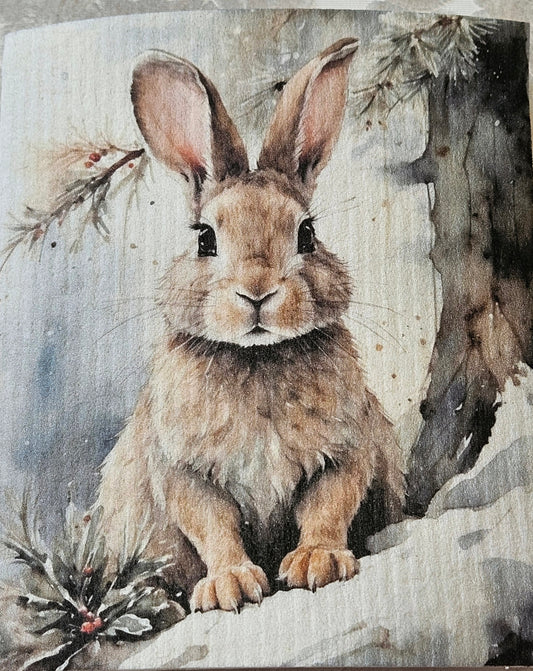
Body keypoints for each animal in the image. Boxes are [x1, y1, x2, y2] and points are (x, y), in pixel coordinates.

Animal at [96, 37, 404, 614]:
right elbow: (213, 524)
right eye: (205, 239)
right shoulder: (182, 469)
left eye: (307, 234)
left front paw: (317, 563)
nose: (257, 292)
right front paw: (230, 586)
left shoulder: (348, 451)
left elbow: (327, 505)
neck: (258, 358)